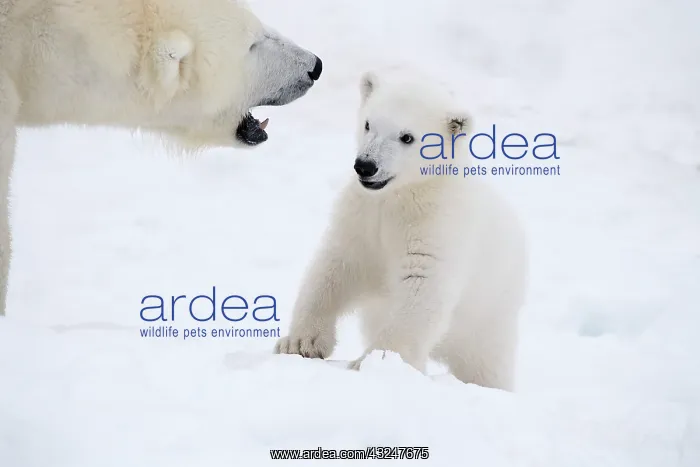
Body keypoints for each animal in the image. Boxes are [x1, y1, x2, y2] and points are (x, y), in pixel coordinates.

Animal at [274, 70, 528, 391]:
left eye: (407, 137)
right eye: (368, 123)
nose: (365, 166)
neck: (398, 196)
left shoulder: (436, 226)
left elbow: (420, 287)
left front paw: (373, 363)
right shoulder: (361, 218)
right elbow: (335, 269)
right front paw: (300, 342)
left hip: (489, 314)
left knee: (486, 365)